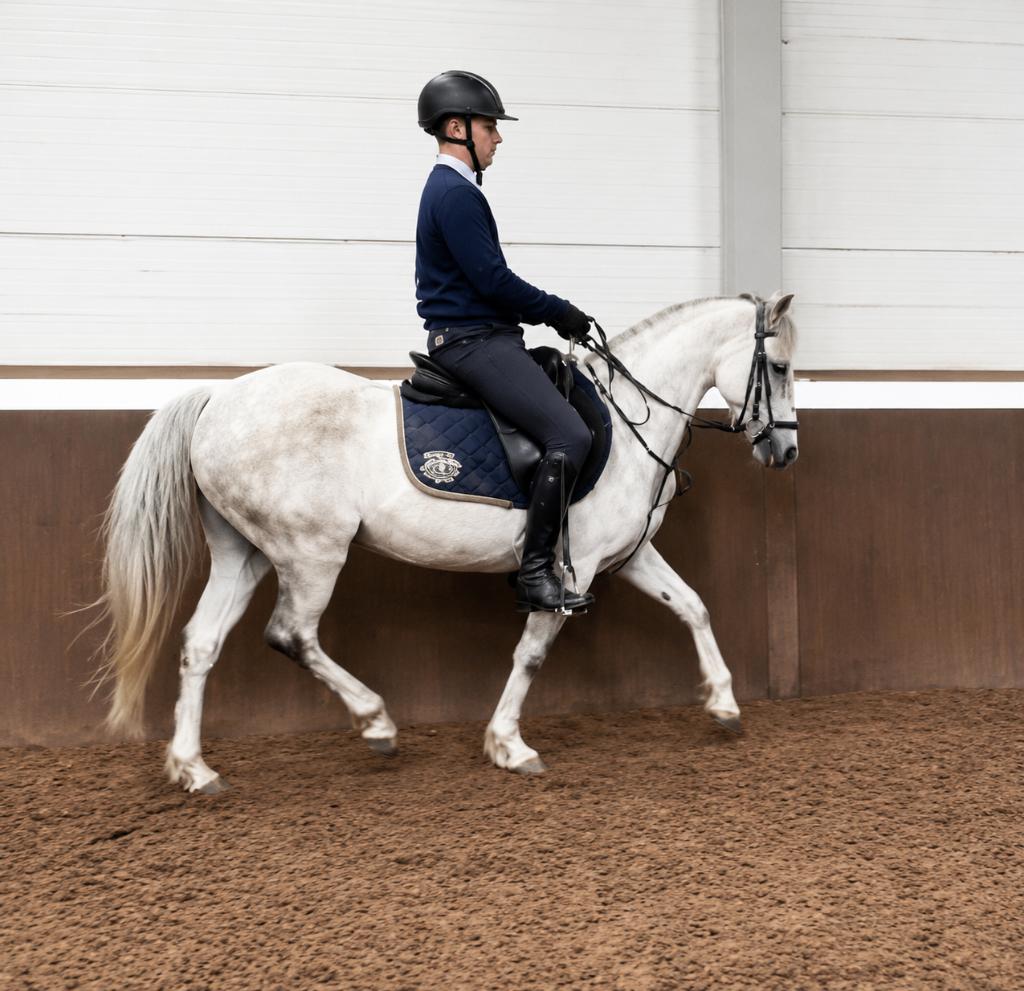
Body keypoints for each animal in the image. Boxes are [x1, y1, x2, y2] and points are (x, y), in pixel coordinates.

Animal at [93, 291, 798, 793]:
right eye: (781, 367)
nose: (785, 453)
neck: (626, 423)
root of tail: (219, 397)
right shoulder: (573, 568)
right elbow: (532, 653)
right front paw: (509, 745)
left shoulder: (627, 556)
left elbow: (693, 606)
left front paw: (724, 704)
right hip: (310, 553)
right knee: (292, 634)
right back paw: (376, 722)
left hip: (246, 555)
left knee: (201, 644)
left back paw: (194, 769)